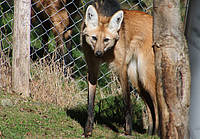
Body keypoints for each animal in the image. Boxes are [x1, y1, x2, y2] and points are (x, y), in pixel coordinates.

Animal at [80, 0, 159, 137]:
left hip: (145, 75)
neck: (106, 53)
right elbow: (90, 102)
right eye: (94, 38)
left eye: (106, 40)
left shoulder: (121, 68)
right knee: (150, 105)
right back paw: (150, 133)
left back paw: (159, 133)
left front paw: (128, 131)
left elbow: (127, 102)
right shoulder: (92, 68)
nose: (98, 53)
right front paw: (88, 130)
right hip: (136, 78)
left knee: (158, 104)